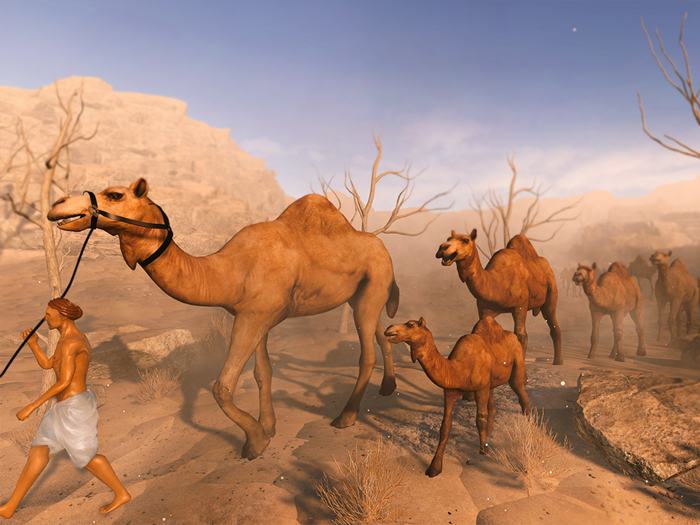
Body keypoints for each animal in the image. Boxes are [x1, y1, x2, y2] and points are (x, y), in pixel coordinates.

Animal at [47, 178, 401, 459]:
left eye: (115, 194)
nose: (57, 205)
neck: (228, 271)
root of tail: (384, 246)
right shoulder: (258, 315)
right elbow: (262, 373)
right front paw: (269, 427)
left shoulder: (253, 316)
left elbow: (222, 386)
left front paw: (255, 442)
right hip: (363, 295)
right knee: (382, 331)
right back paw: (388, 387)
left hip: (373, 284)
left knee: (366, 352)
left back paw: (346, 417)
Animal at [384, 316, 530, 477]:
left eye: (410, 325)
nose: (389, 328)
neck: (459, 368)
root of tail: (511, 335)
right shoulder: (450, 392)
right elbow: (445, 427)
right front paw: (434, 468)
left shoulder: (481, 388)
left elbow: (480, 418)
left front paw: (484, 449)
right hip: (491, 382)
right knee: (493, 404)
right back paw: (490, 432)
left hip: (517, 362)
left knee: (520, 390)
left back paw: (527, 420)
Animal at [436, 230, 563, 365]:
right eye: (448, 238)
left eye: (466, 240)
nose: (442, 248)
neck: (497, 282)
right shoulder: (484, 309)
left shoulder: (520, 306)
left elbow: (521, 335)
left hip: (551, 292)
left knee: (553, 325)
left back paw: (558, 361)